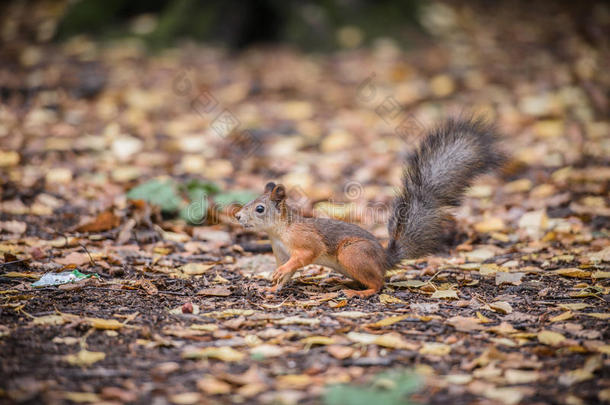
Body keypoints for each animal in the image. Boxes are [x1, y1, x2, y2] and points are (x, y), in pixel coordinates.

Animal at [234, 117, 504, 296]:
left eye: (259, 209)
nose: (237, 216)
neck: (279, 232)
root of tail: (384, 259)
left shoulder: (305, 240)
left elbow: (306, 255)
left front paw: (279, 275)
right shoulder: (280, 251)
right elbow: (288, 274)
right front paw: (274, 287)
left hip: (352, 254)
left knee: (378, 284)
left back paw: (359, 292)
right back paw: (345, 284)